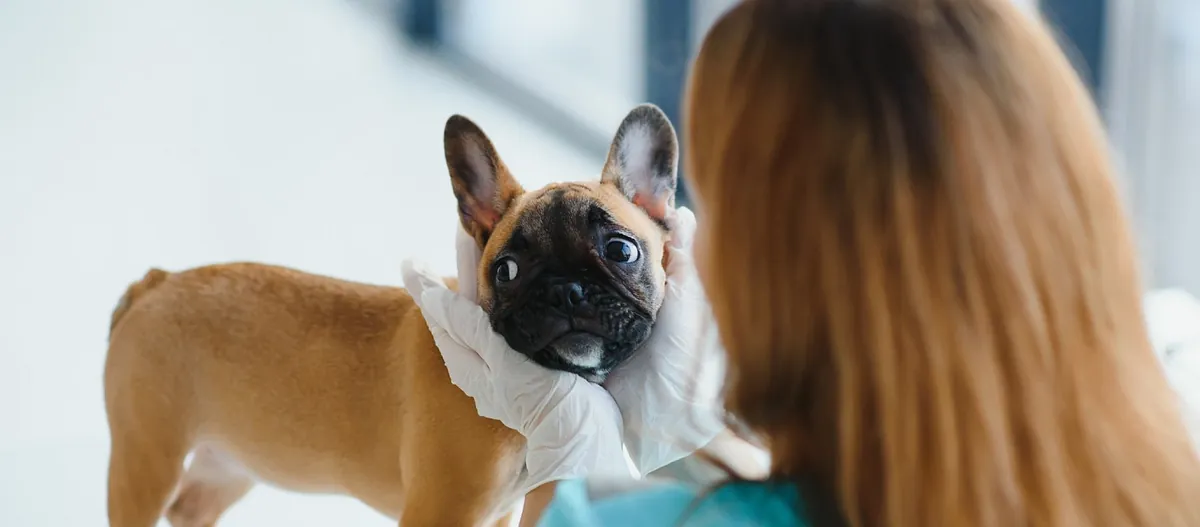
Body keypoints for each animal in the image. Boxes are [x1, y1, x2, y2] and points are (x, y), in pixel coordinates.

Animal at [103, 105, 681, 525]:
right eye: (508, 270)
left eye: (621, 250)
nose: (566, 291)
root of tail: (156, 283)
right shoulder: (442, 511)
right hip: (147, 459)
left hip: (230, 465)